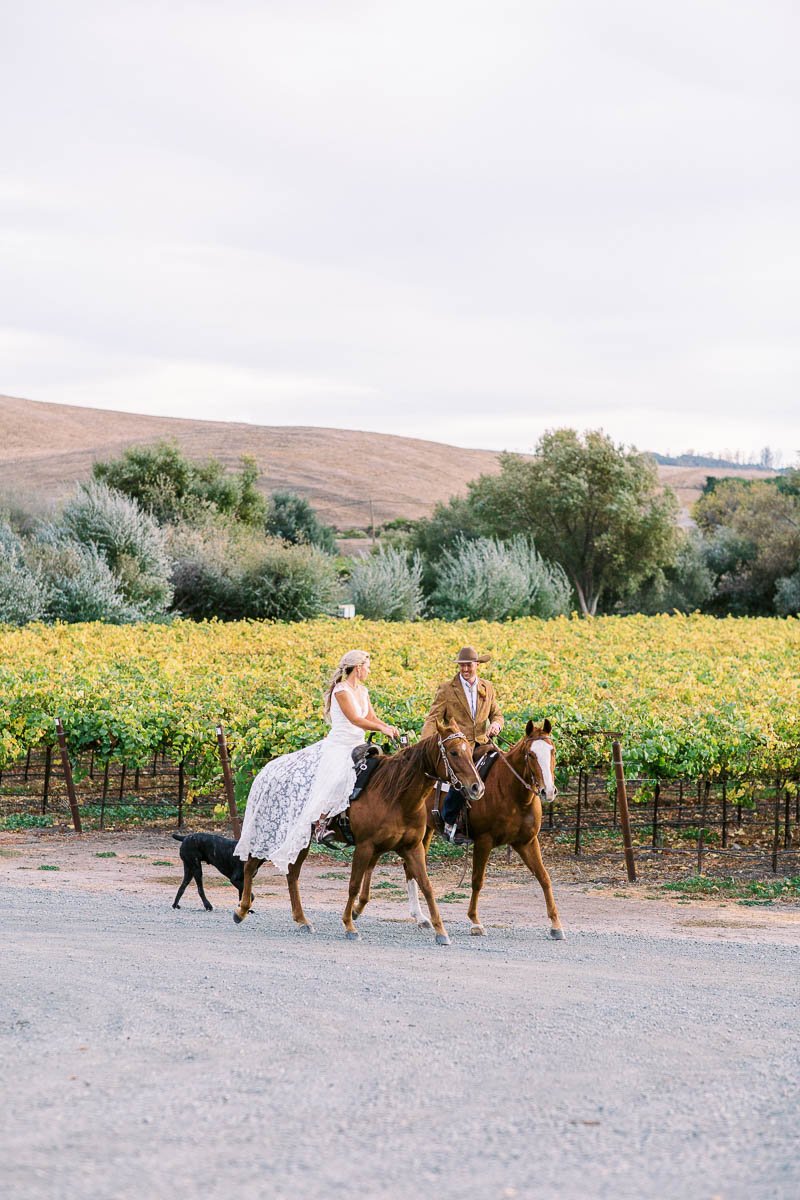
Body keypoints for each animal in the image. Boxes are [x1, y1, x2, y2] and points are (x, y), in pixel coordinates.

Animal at [231, 720, 482, 945]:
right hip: (271, 833)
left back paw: (302, 920)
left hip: (301, 840)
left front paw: (440, 931)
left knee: (292, 874)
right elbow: (353, 885)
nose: (477, 787)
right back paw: (241, 910)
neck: (396, 796)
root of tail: (267, 771)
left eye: (470, 751)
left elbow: (426, 886)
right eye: (453, 752)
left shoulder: (412, 847)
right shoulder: (365, 846)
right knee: (250, 865)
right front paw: (349, 925)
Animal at [352, 720, 566, 936]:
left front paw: (556, 925)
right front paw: (475, 921)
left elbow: (544, 878)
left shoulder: (527, 842)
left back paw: (418, 916)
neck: (510, 792)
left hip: (422, 833)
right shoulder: (484, 841)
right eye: (531, 754)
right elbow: (477, 880)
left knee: (406, 867)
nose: (548, 791)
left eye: (553, 751)